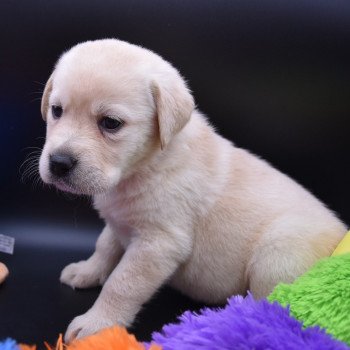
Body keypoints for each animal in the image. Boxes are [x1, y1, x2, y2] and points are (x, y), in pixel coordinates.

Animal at [39, 39, 348, 342]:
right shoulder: (119, 221)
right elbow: (104, 246)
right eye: (57, 110)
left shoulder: (158, 244)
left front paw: (97, 323)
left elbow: (122, 283)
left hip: (278, 254)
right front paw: (86, 271)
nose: (59, 163)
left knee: (273, 305)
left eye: (111, 123)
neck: (144, 166)